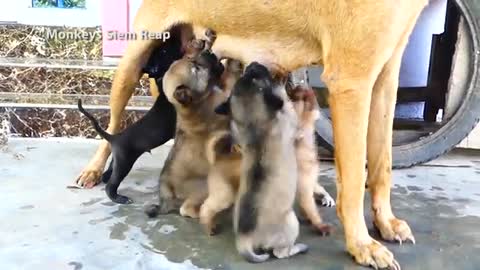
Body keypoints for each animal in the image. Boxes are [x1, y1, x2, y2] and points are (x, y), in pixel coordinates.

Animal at [217, 62, 308, 262]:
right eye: (257, 76)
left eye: (247, 75)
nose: (253, 64)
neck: (254, 125)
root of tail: (245, 238)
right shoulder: (287, 113)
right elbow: (283, 98)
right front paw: (283, 80)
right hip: (291, 221)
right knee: (279, 253)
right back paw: (298, 248)